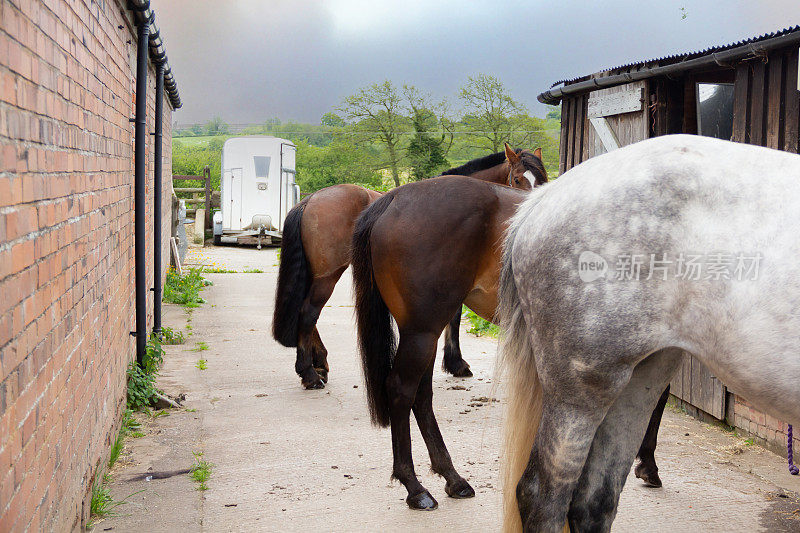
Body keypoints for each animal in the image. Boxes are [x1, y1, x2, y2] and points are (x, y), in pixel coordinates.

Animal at [270, 144, 544, 386]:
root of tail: (310, 200)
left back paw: (319, 364)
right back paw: (310, 374)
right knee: (308, 313)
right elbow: (454, 318)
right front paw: (456, 363)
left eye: (543, 179)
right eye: (517, 179)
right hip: (328, 275)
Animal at [354, 176, 672, 512]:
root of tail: (395, 197)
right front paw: (647, 466)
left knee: (421, 397)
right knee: (401, 390)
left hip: (425, 332)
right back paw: (415, 487)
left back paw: (452, 477)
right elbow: (657, 397)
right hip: (422, 330)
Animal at [496, 134, 800, 532]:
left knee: (593, 501)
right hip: (579, 391)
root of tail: (544, 199)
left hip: (638, 380)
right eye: (515, 178)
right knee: (542, 497)